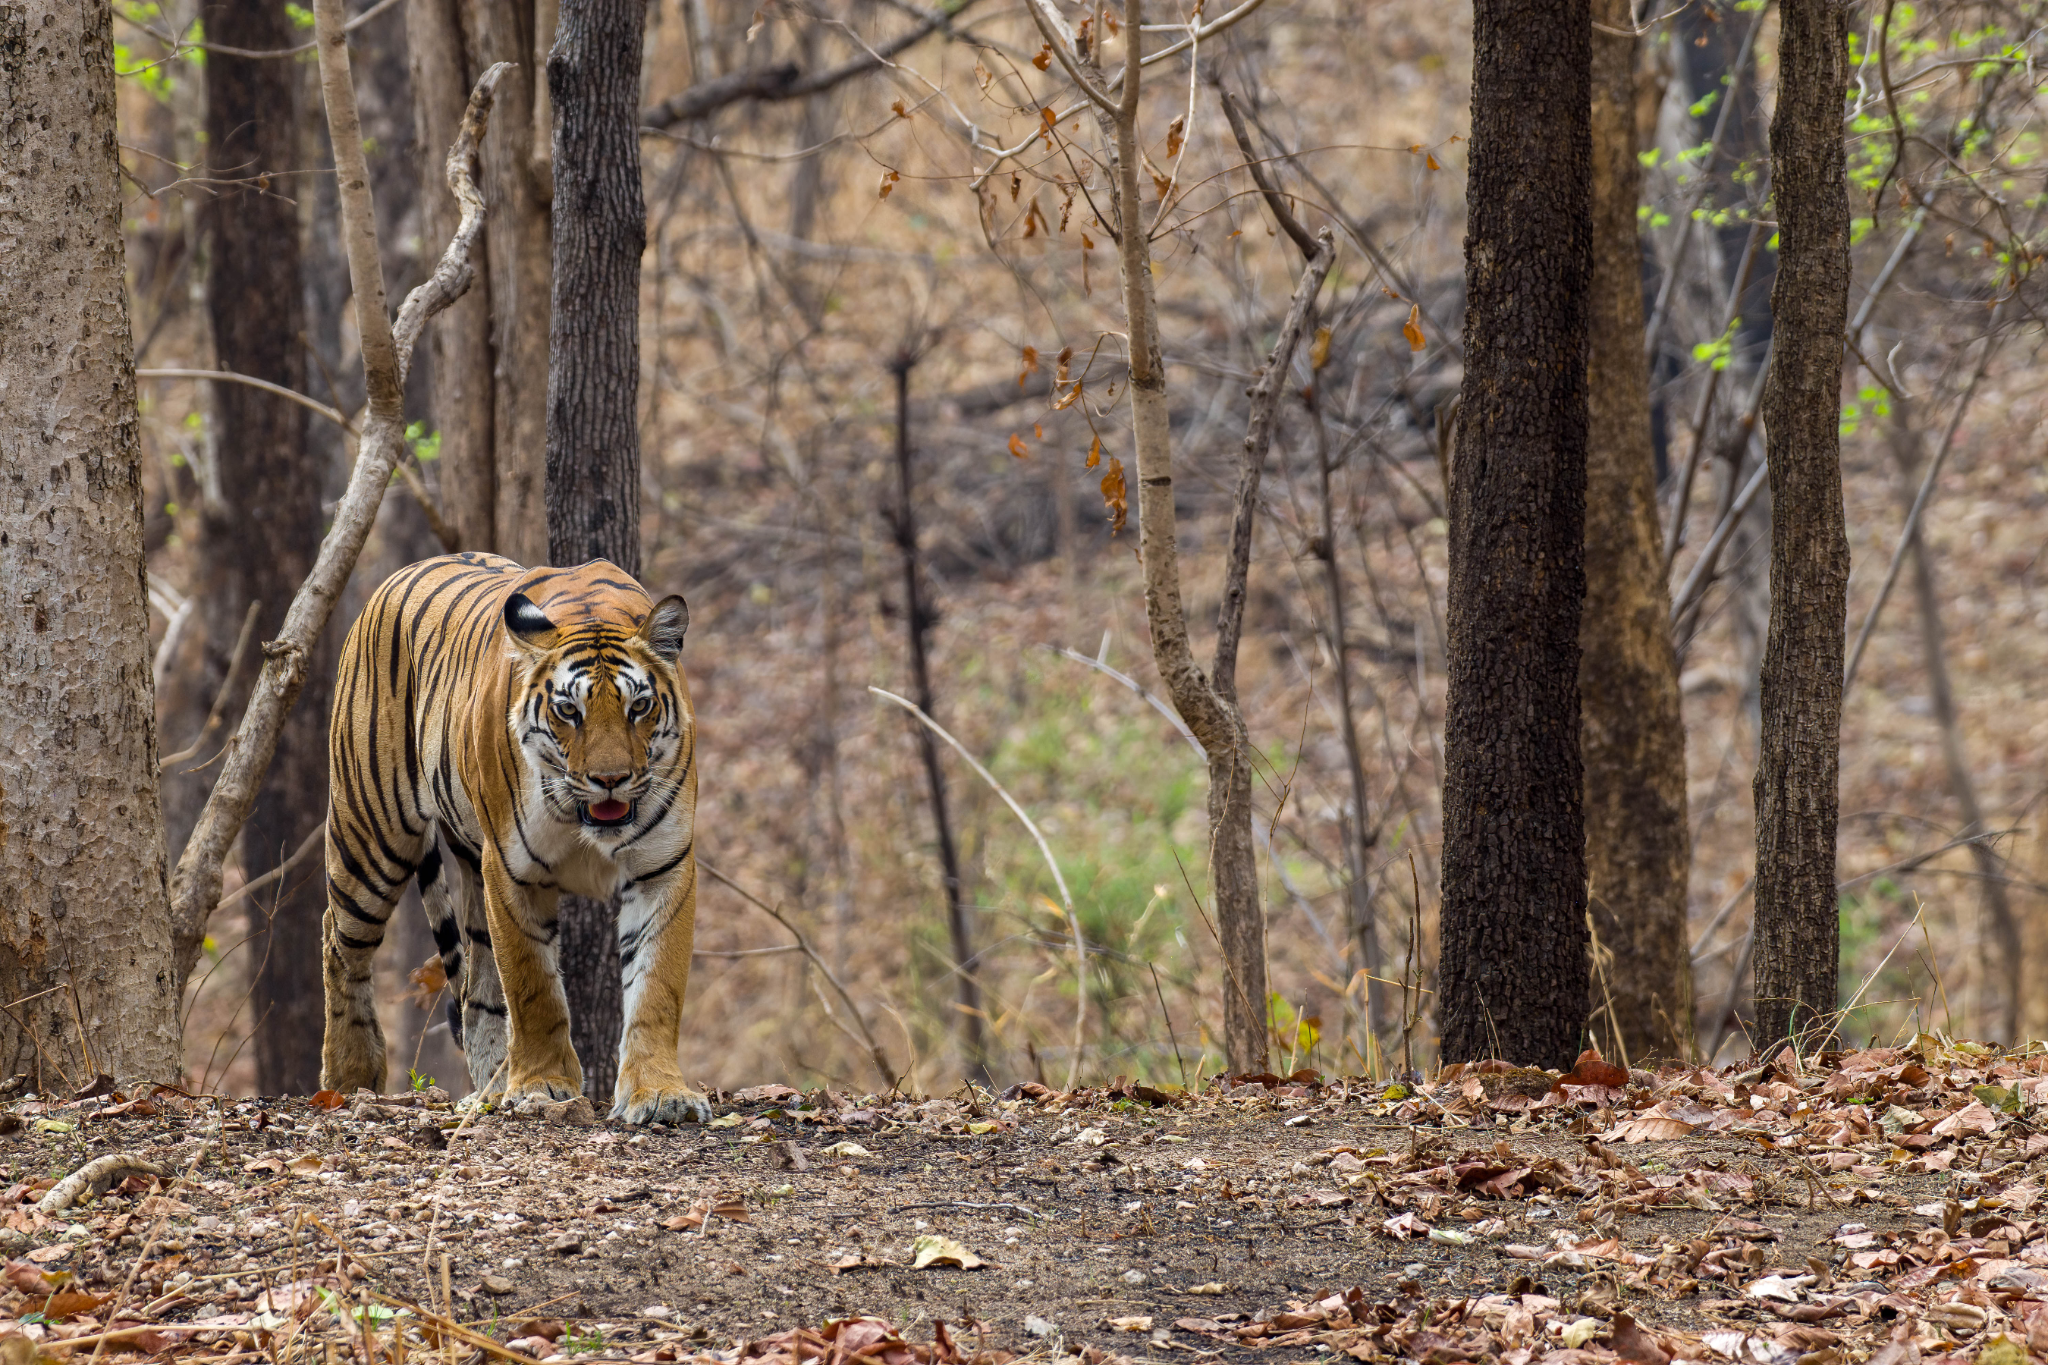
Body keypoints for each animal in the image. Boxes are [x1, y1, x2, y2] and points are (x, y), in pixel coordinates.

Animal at [318, 552, 713, 1125]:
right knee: (339, 941)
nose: (610, 779)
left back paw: (487, 1088)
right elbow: (533, 987)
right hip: (372, 833)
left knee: (477, 987)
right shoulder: (512, 871)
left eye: (639, 707)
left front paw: (660, 1093)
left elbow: (656, 986)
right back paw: (351, 1077)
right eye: (568, 711)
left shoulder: (663, 867)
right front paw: (542, 1086)